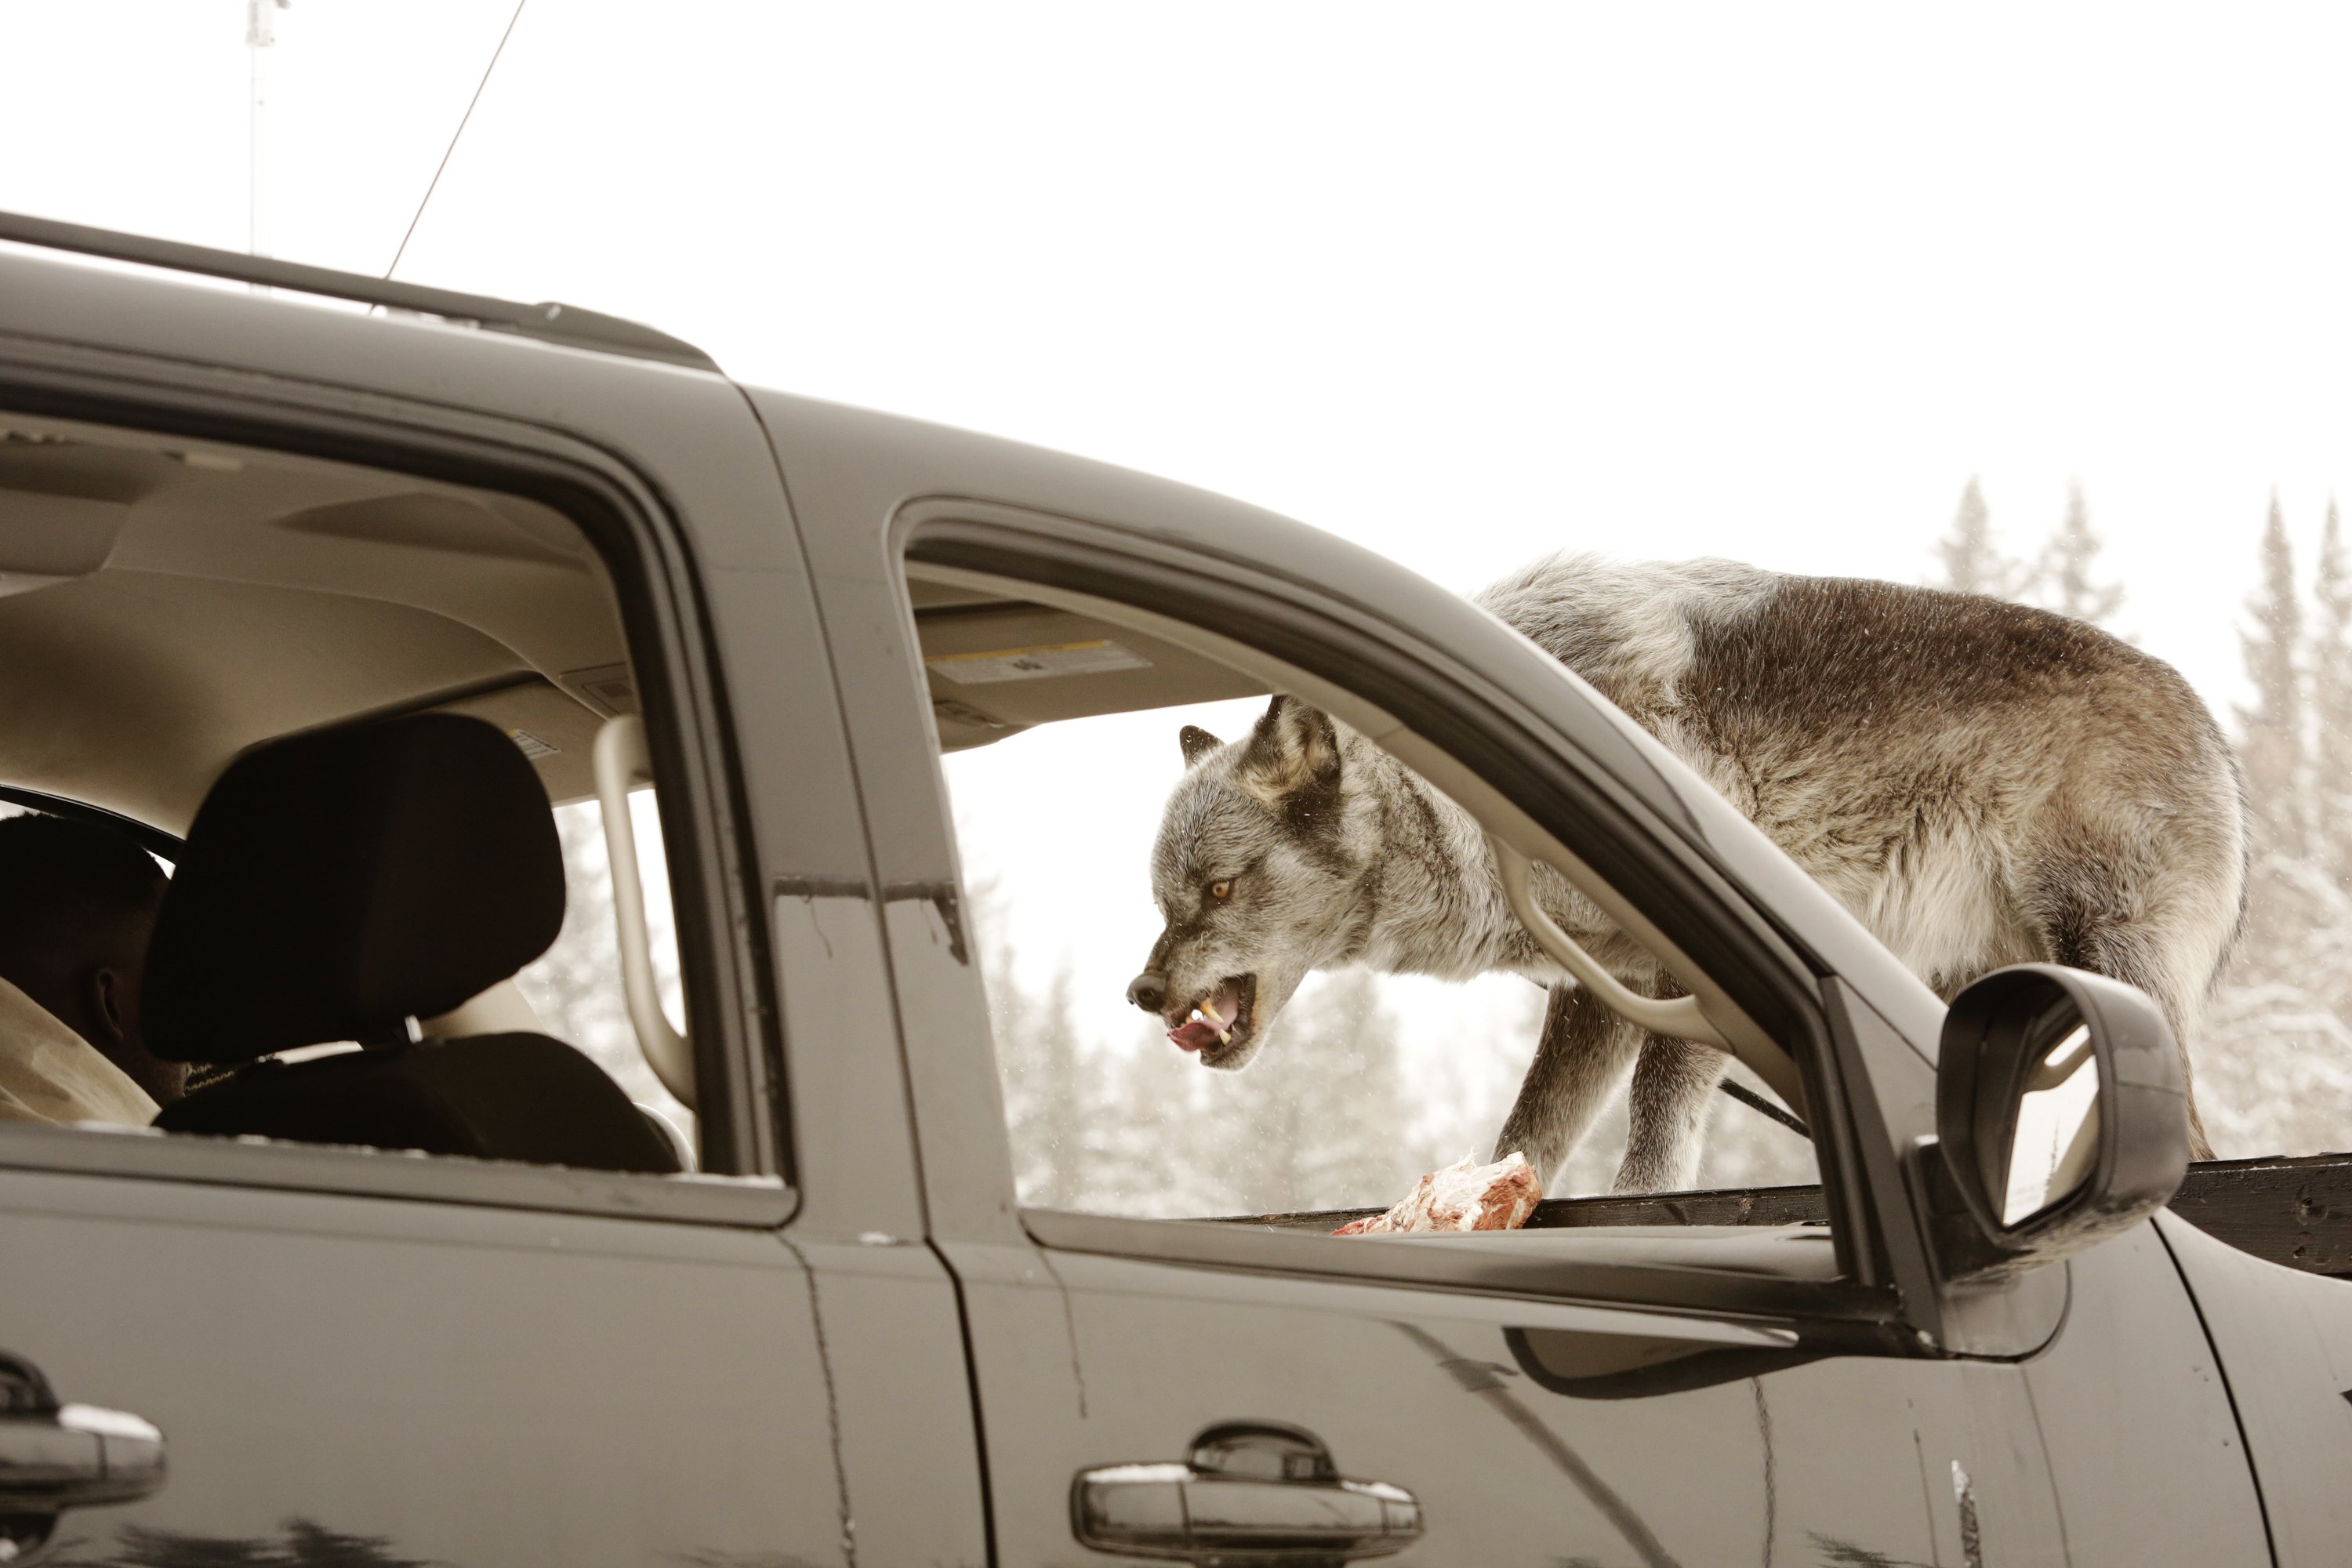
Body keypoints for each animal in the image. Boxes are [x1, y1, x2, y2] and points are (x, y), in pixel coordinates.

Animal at [1125, 555, 2245, 1193]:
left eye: (1220, 888)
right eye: (1168, 898)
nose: (1142, 990)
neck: (1471, 824)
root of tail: (2210, 724)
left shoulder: (1675, 983)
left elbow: (1655, 1135)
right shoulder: (1597, 993)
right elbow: (1528, 1135)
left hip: (2101, 966)